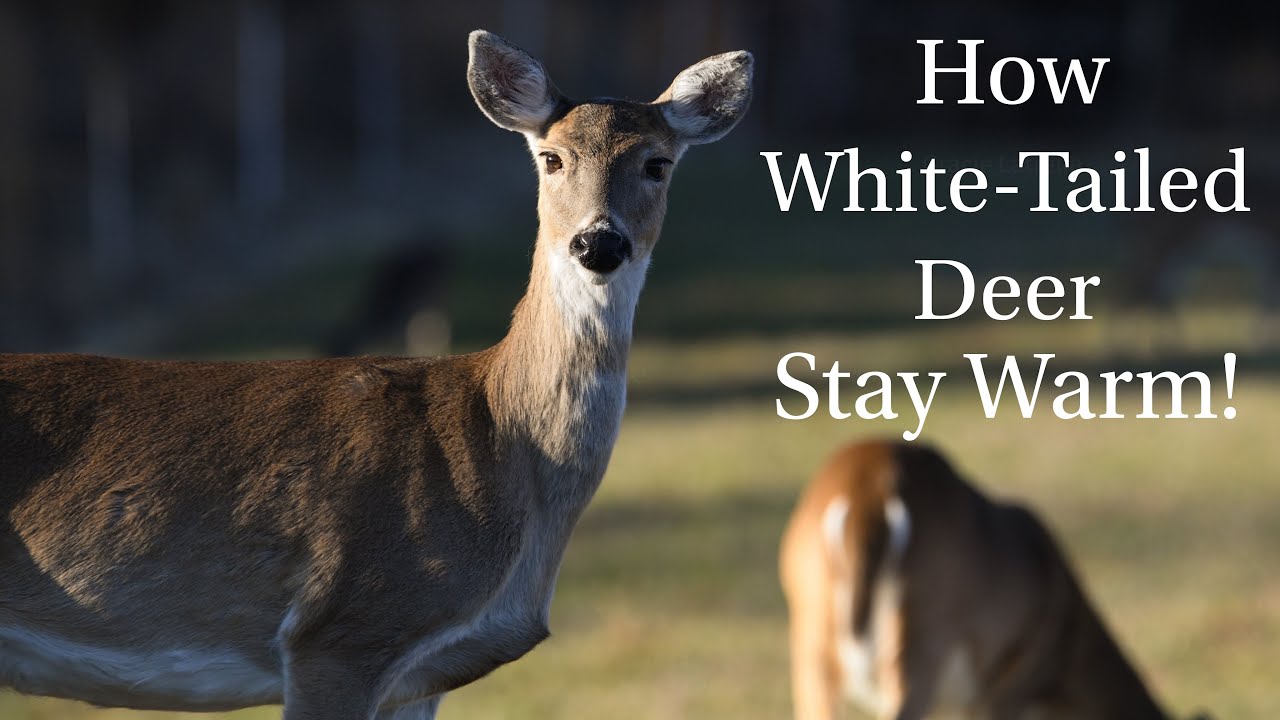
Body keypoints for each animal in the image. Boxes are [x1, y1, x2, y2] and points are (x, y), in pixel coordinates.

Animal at [0, 30, 752, 719]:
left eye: (657, 163)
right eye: (551, 158)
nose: (599, 243)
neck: (499, 440)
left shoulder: (419, 678)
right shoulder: (344, 629)